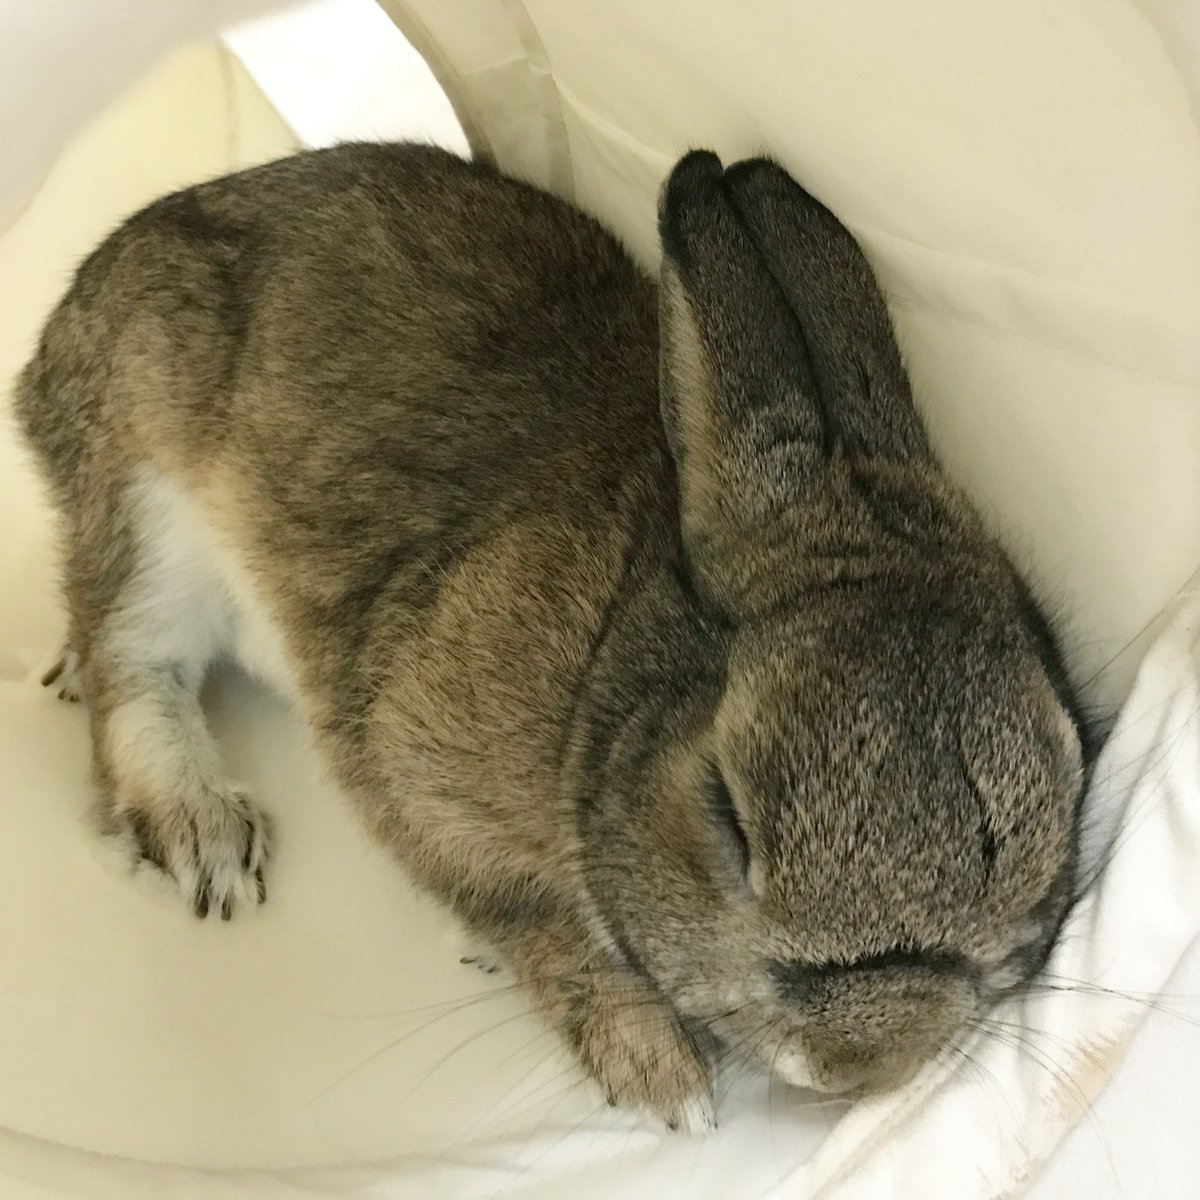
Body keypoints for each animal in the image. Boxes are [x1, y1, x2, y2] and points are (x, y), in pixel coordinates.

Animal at [13, 142, 1089, 1132]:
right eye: (727, 812)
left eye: (1035, 891)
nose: (861, 1066)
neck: (612, 657)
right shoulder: (409, 760)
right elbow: (525, 913)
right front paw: (659, 1077)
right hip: (145, 490)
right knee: (125, 660)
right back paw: (201, 831)